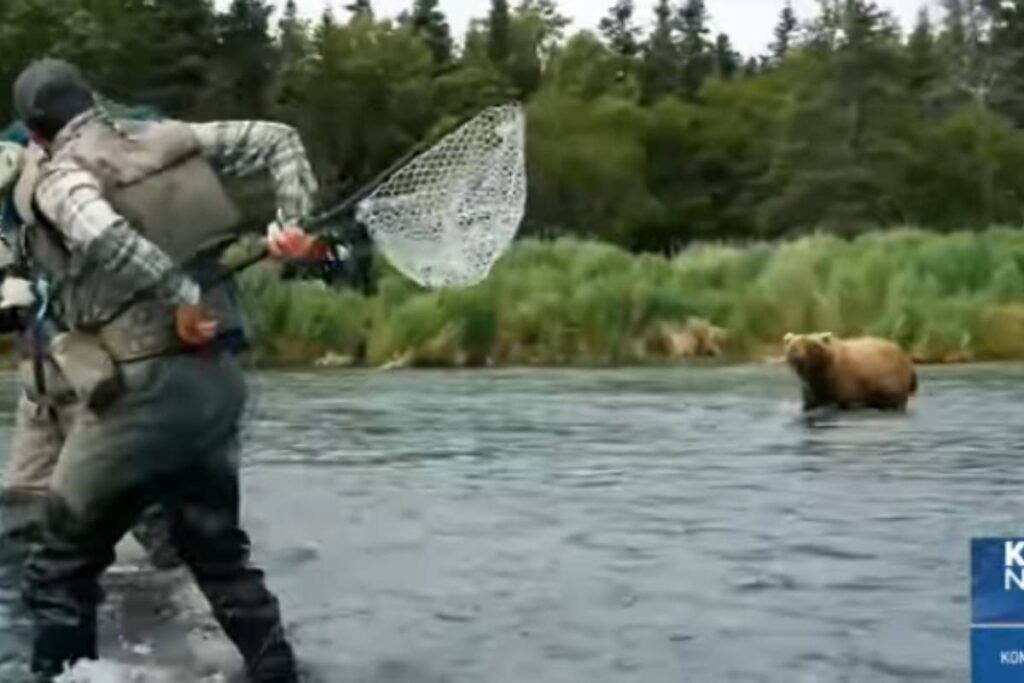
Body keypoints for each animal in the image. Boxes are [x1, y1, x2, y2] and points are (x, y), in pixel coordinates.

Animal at [783, 332, 918, 412]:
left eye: (810, 346)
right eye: (794, 347)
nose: (799, 357)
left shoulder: (840, 380)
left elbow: (837, 401)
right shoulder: (811, 385)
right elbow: (810, 401)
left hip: (890, 380)